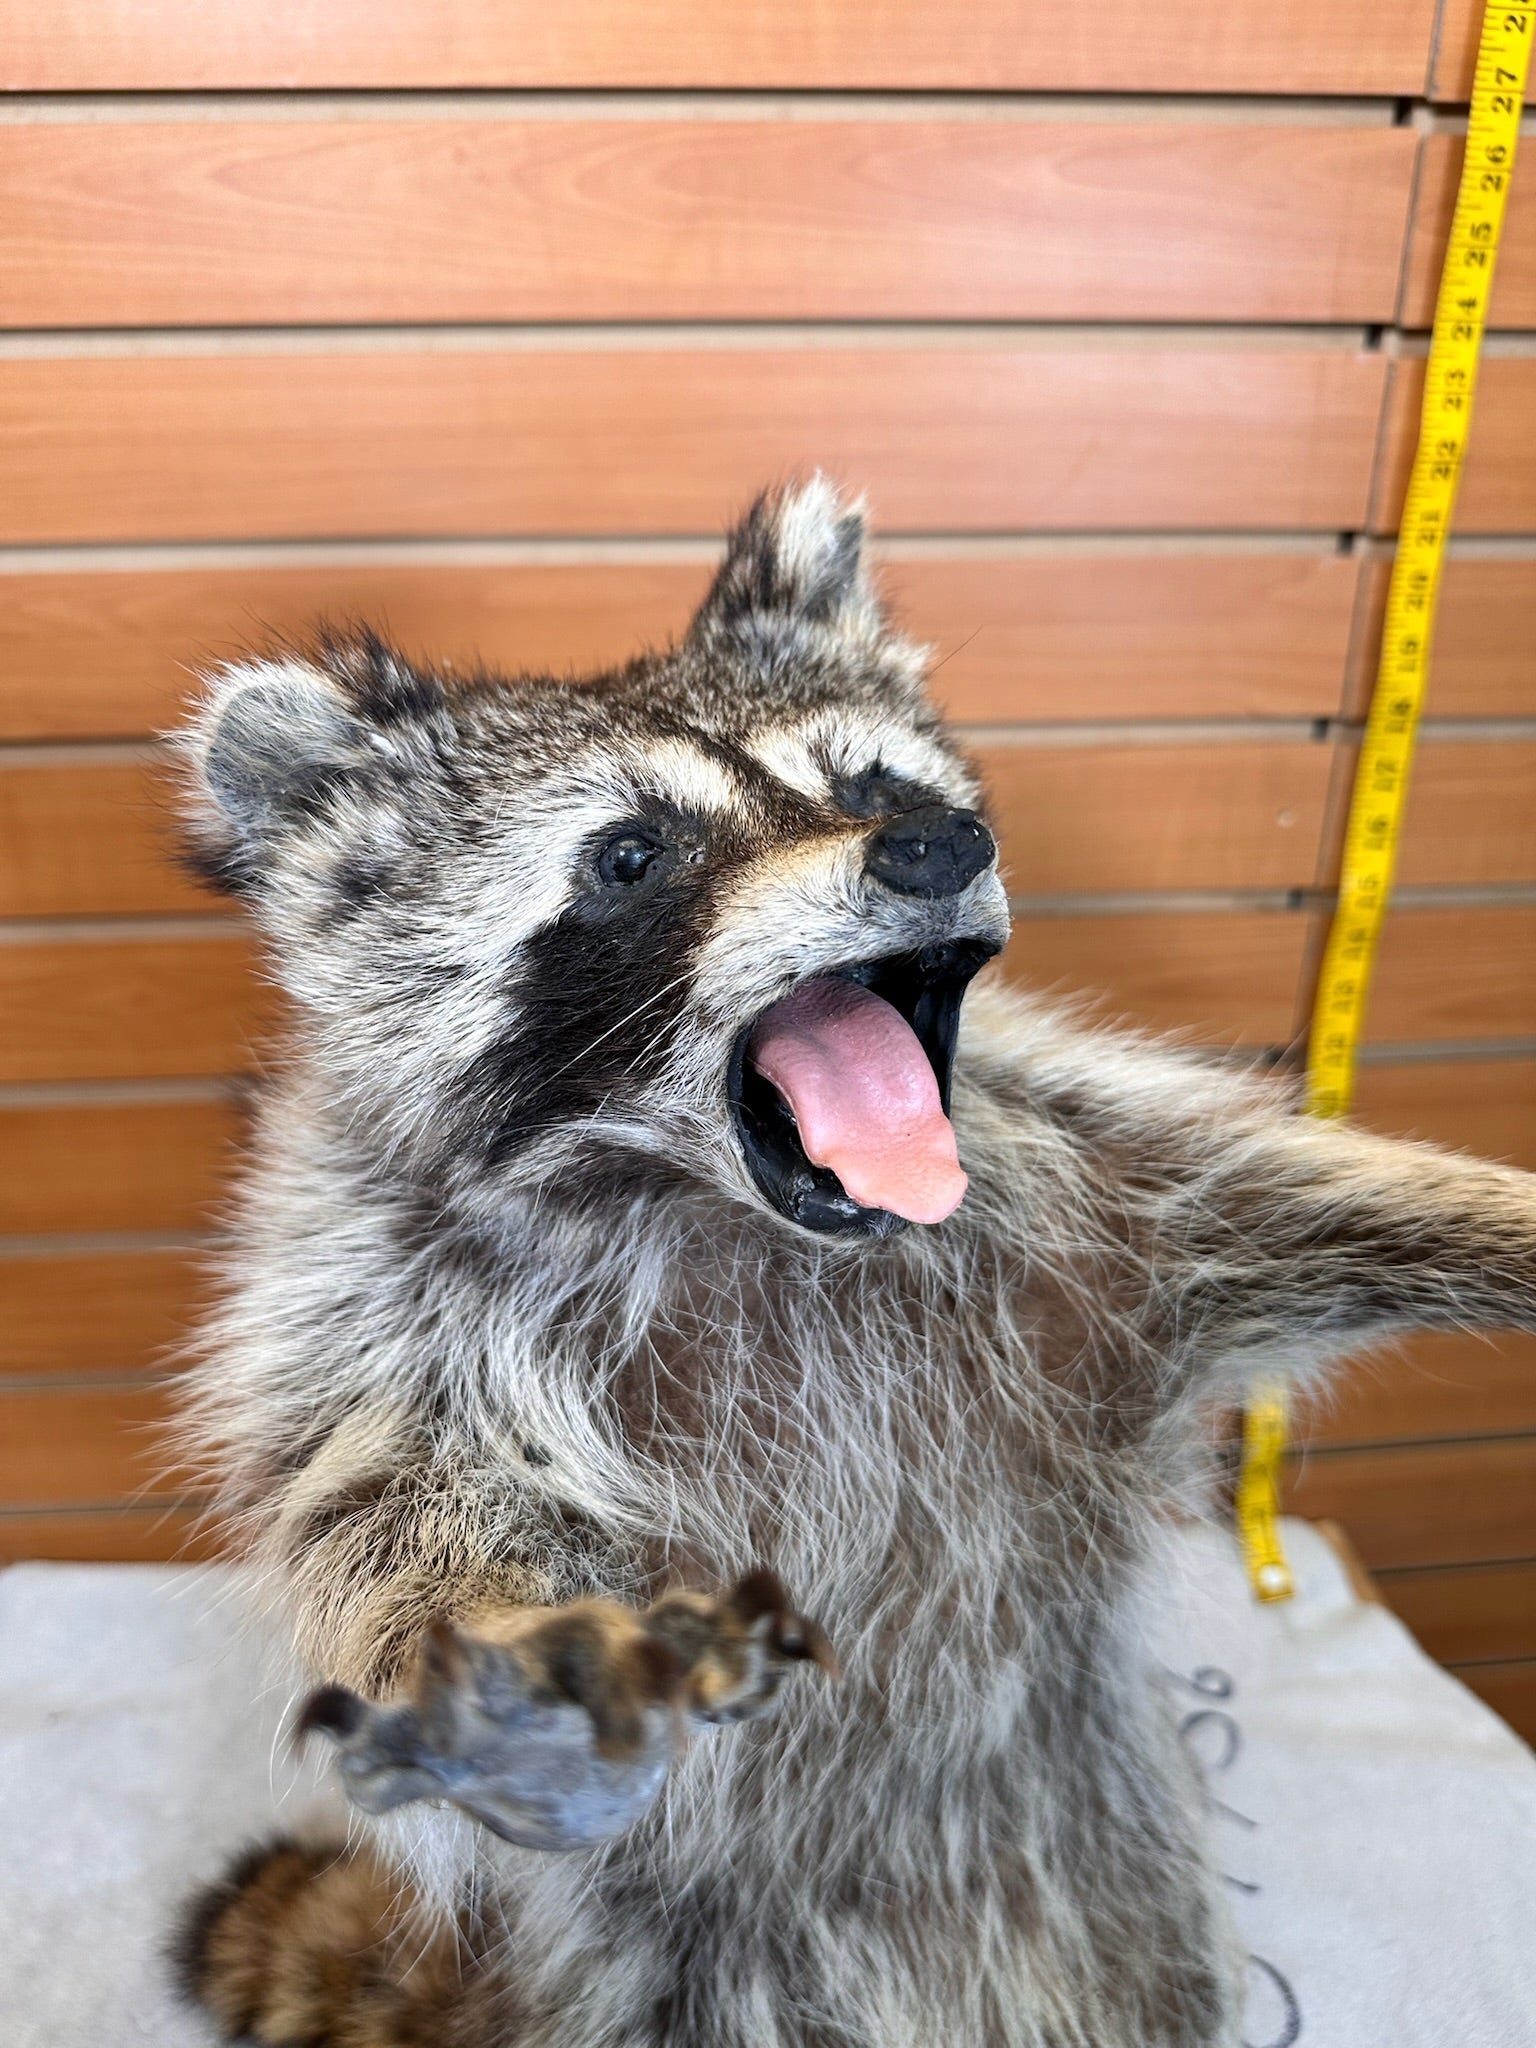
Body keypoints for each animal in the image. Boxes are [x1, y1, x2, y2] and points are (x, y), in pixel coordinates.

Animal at [169, 480, 1536, 2048]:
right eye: (632, 855)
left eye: (879, 783)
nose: (936, 844)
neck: (749, 1218)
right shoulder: (360, 1302)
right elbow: (381, 1513)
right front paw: (505, 1636)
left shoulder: (1107, 1197)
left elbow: (1301, 1195)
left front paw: (1498, 1213)